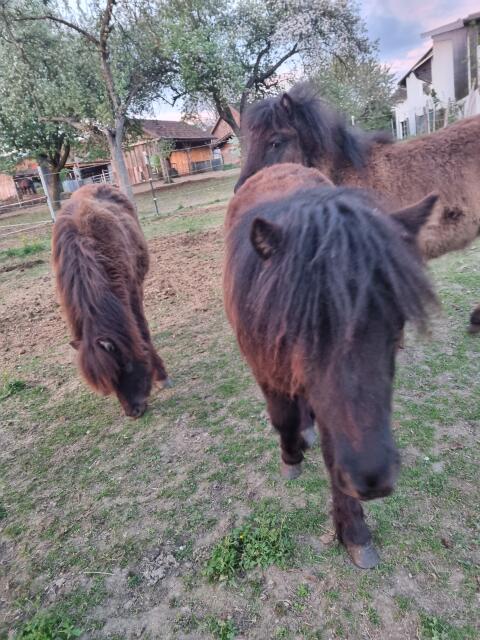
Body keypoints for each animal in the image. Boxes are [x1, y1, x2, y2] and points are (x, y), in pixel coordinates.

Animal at [224, 164, 437, 568]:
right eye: (300, 328)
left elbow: (330, 447)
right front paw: (291, 456)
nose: (372, 479)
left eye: (398, 324)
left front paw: (353, 529)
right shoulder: (264, 370)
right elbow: (283, 418)